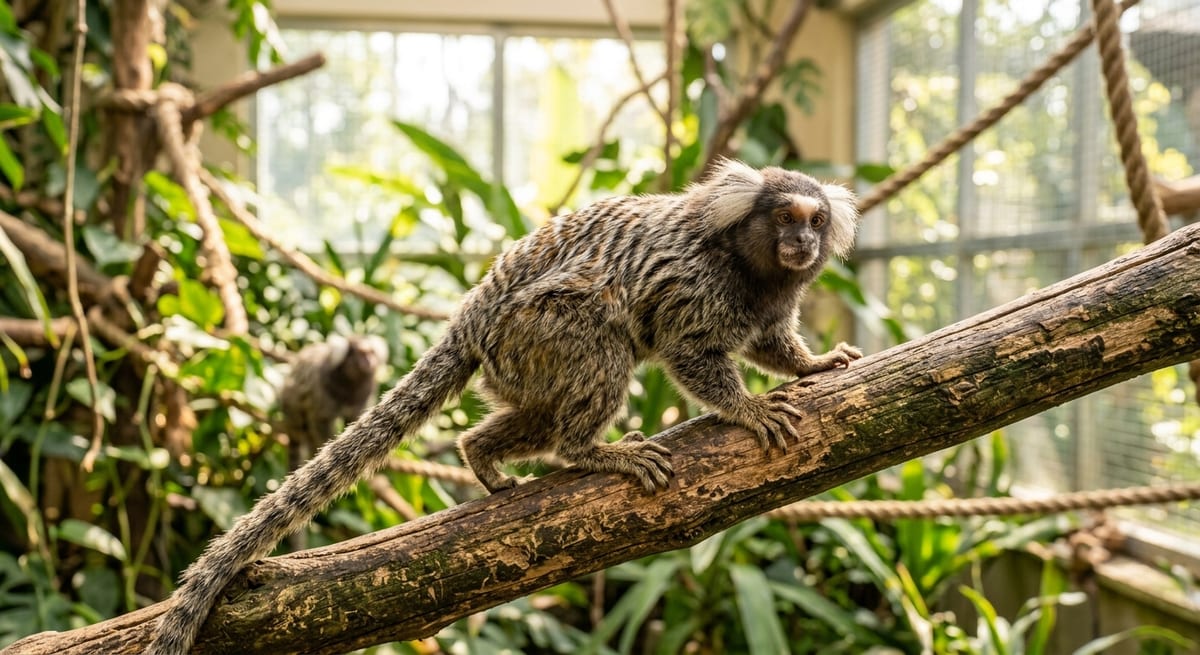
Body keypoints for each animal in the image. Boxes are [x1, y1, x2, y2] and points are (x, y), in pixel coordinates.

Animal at [145, 160, 861, 654]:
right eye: (785, 217)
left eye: (815, 221)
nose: (802, 242)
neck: (750, 265)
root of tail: (473, 313)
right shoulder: (696, 284)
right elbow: (690, 352)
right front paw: (747, 410)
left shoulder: (771, 304)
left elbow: (773, 343)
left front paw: (812, 365)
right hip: (540, 327)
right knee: (602, 353)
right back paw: (595, 453)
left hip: (518, 362)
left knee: (537, 414)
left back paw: (483, 457)